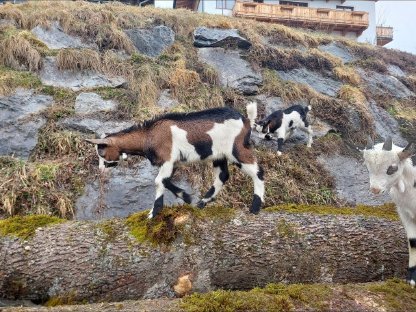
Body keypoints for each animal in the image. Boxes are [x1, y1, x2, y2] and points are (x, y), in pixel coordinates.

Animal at [86, 103, 264, 218]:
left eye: (101, 153)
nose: (101, 170)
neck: (148, 135)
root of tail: (246, 120)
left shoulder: (167, 159)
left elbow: (159, 181)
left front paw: (153, 213)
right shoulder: (173, 163)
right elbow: (166, 181)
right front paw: (186, 197)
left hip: (237, 149)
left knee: (258, 172)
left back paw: (255, 207)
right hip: (219, 155)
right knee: (222, 176)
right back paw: (202, 203)